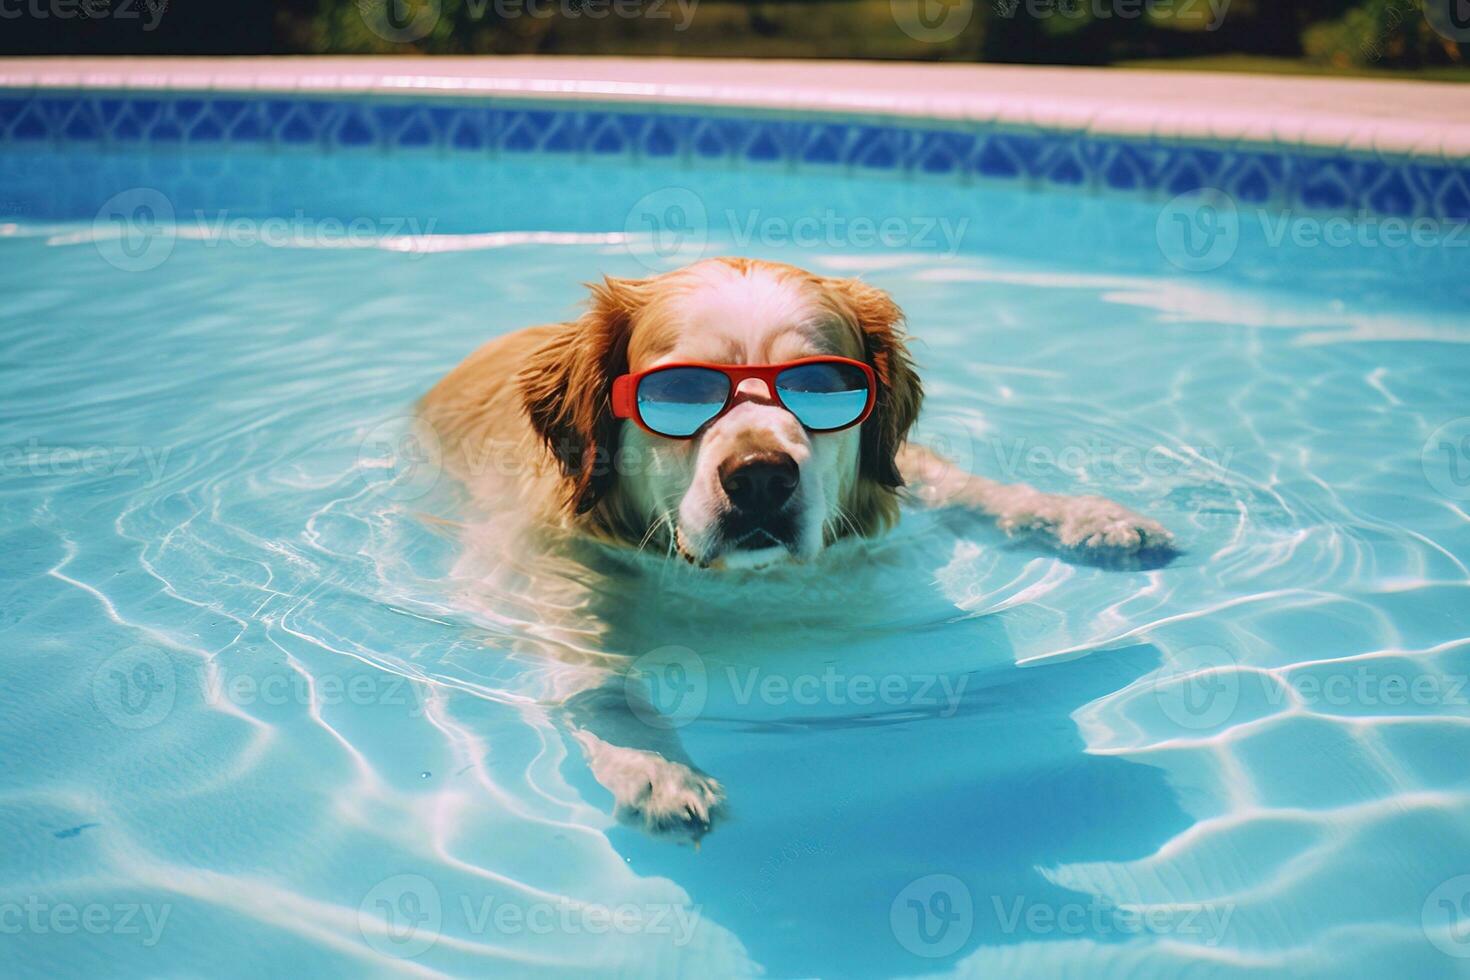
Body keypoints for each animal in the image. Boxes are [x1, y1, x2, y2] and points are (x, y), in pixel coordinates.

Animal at [420, 257, 1176, 840]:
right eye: (681, 392)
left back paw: (1095, 521)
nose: (761, 476)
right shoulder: (554, 578)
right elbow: (600, 686)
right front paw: (658, 772)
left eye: (820, 385)